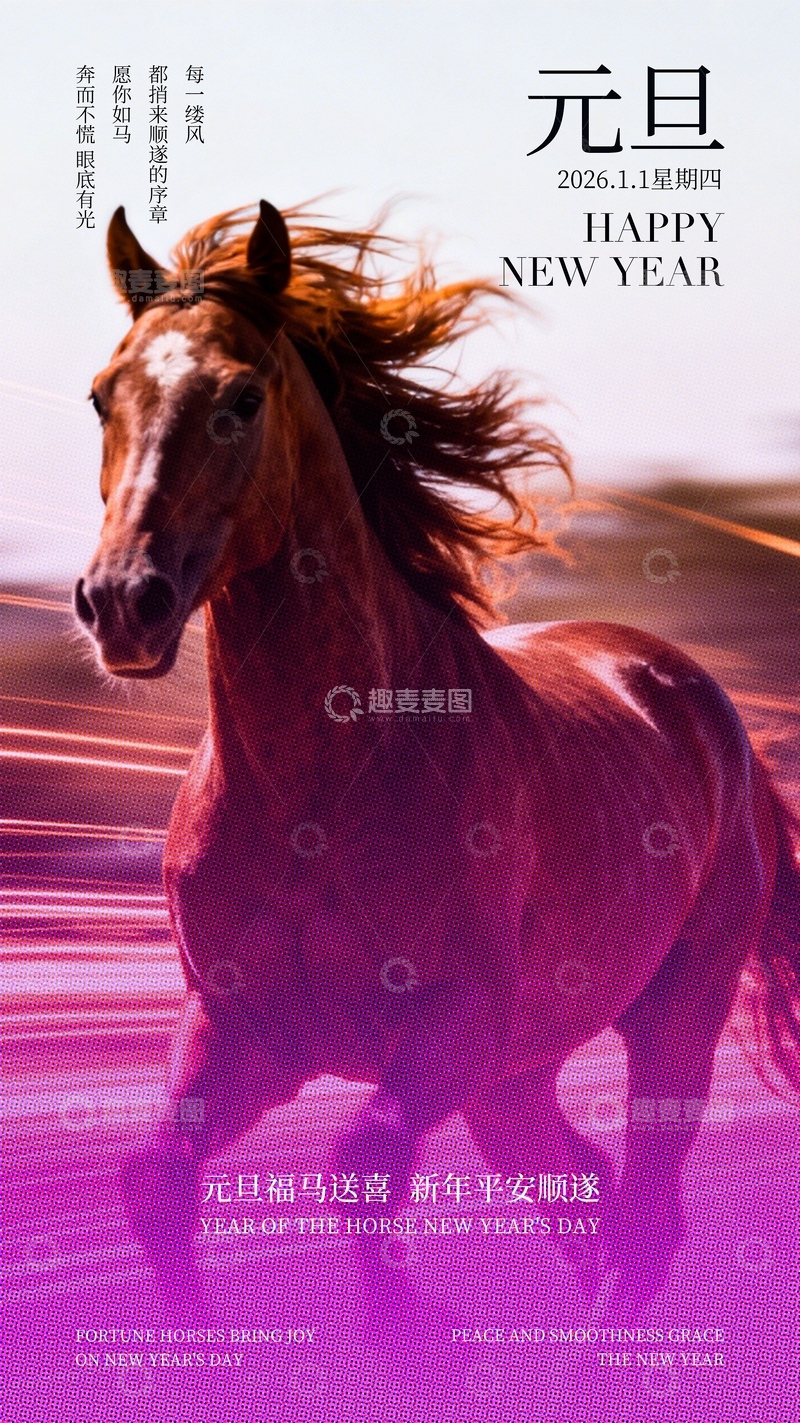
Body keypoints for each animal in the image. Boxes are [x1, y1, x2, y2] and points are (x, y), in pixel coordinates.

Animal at [75, 199, 800, 1324]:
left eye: (241, 396)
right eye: (105, 395)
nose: (121, 602)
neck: (315, 789)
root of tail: (707, 707)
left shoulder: (450, 1028)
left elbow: (360, 1160)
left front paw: (424, 1339)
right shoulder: (237, 1030)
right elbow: (154, 1177)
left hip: (673, 1015)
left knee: (642, 1218)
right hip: (516, 1076)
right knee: (585, 1191)